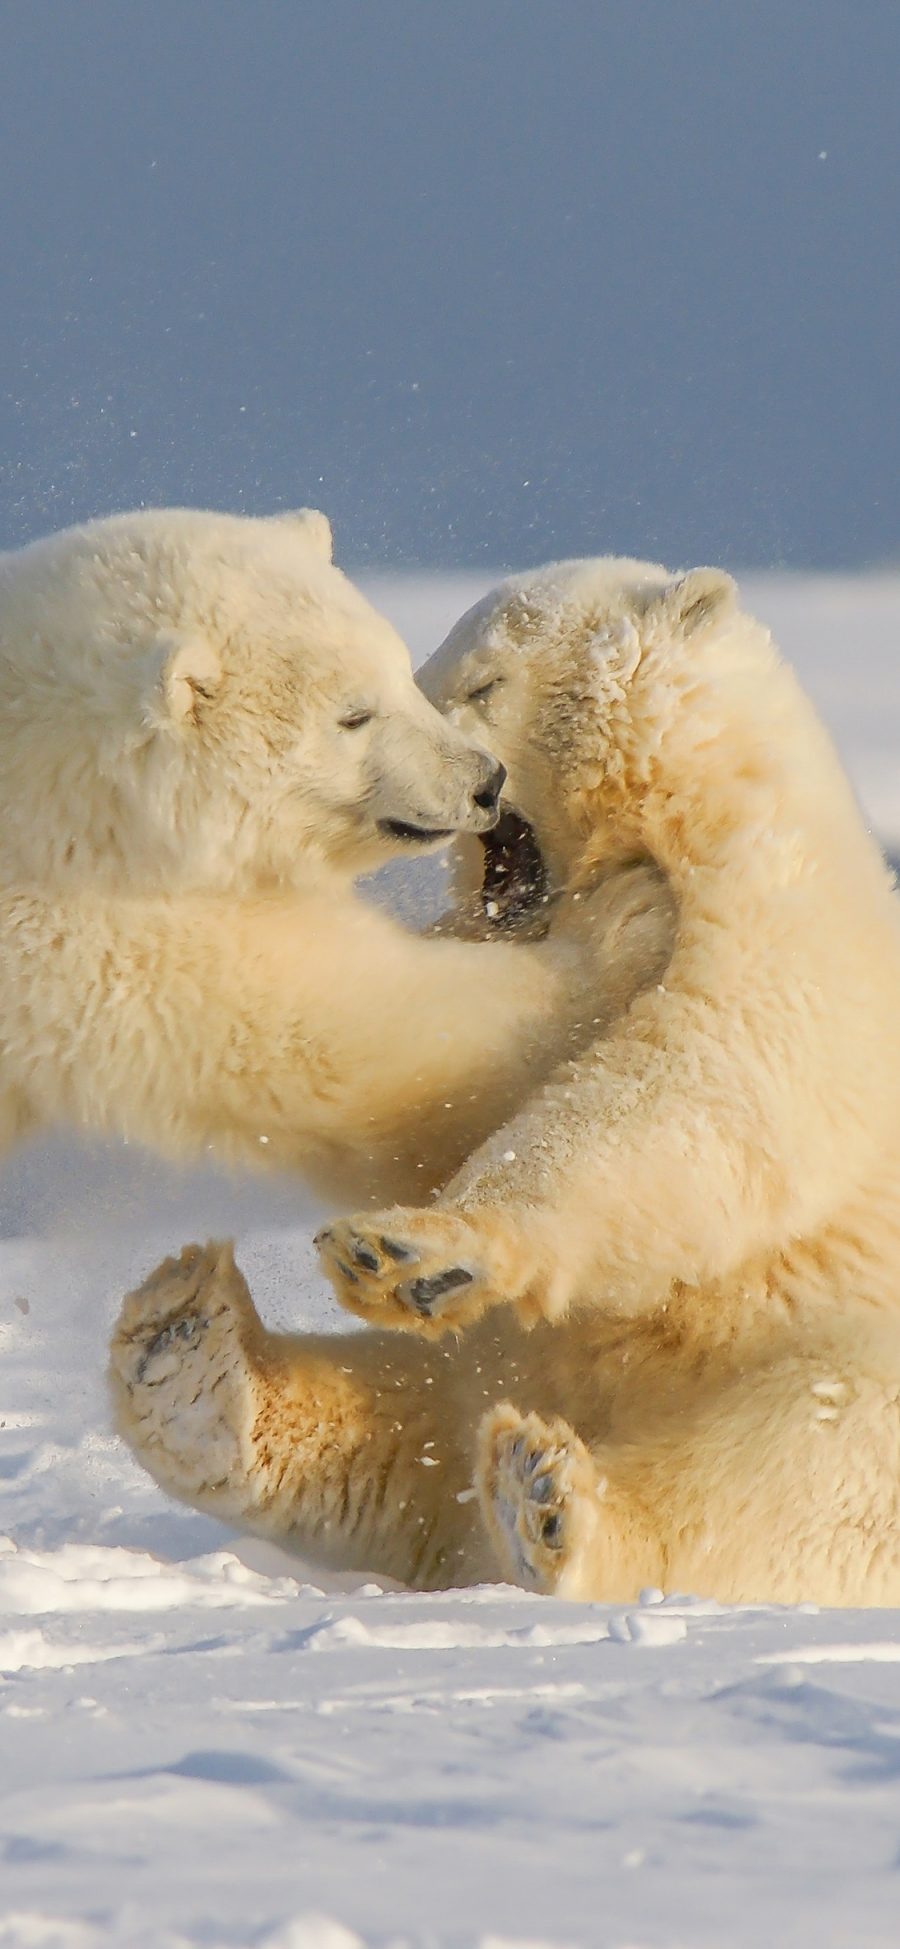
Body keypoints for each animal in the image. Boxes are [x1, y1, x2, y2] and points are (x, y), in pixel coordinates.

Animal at [0, 502, 666, 1192]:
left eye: (404, 674)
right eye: (354, 716)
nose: (484, 781)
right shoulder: (85, 933)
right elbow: (339, 1023)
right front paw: (629, 919)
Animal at [109, 557, 900, 1605]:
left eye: (481, 684)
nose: (459, 783)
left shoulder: (775, 912)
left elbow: (700, 1080)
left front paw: (418, 1247)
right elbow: (438, 1082)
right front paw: (382, 1247)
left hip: (837, 1369)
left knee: (789, 1473)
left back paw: (550, 1502)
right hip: (488, 1369)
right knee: (407, 1427)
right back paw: (190, 1353)